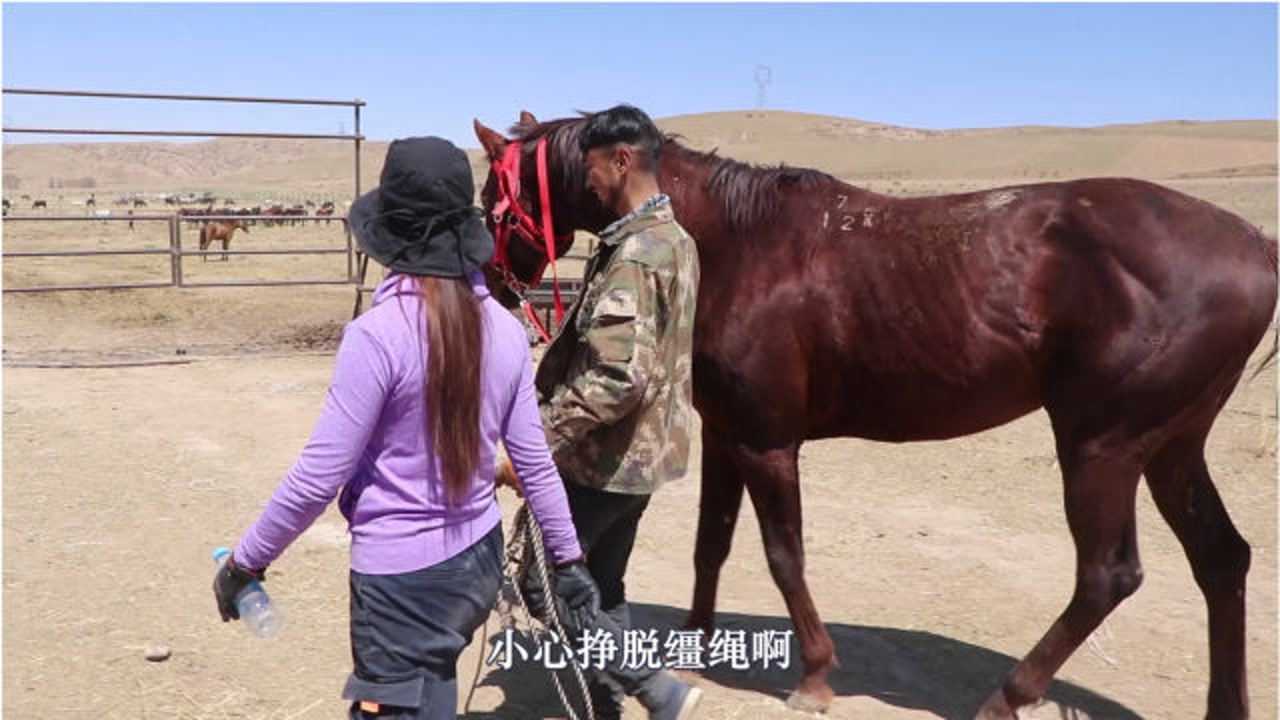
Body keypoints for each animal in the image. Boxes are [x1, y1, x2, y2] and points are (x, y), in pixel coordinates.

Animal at [472, 112, 1278, 719]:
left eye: (492, 193)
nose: (494, 280)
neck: (733, 244)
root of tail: (1256, 246)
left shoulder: (768, 443)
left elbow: (783, 555)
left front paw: (815, 675)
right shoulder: (729, 434)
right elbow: (713, 545)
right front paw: (696, 648)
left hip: (1103, 446)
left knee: (1107, 576)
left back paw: (1007, 696)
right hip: (1172, 446)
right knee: (1221, 560)